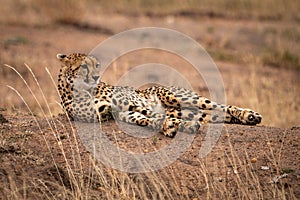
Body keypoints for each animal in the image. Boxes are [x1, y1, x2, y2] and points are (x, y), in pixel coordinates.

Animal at [56, 52, 262, 138]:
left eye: (96, 65)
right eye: (84, 66)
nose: (96, 76)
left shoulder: (134, 104)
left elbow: (154, 116)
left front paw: (172, 126)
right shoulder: (118, 112)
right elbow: (147, 120)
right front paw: (170, 127)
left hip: (178, 97)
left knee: (219, 105)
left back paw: (249, 114)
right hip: (191, 111)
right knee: (217, 115)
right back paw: (244, 118)